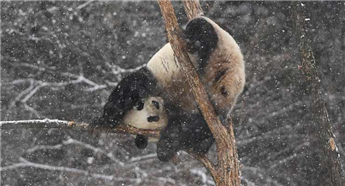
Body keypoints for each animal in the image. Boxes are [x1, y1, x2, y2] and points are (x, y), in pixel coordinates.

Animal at [92, 16, 245, 161]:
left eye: (140, 105)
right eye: (151, 118)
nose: (155, 104)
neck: (166, 101)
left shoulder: (153, 81)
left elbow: (130, 87)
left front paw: (104, 119)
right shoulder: (180, 112)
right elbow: (190, 127)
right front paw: (166, 148)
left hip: (221, 45)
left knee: (202, 29)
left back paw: (191, 42)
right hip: (218, 101)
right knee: (209, 122)